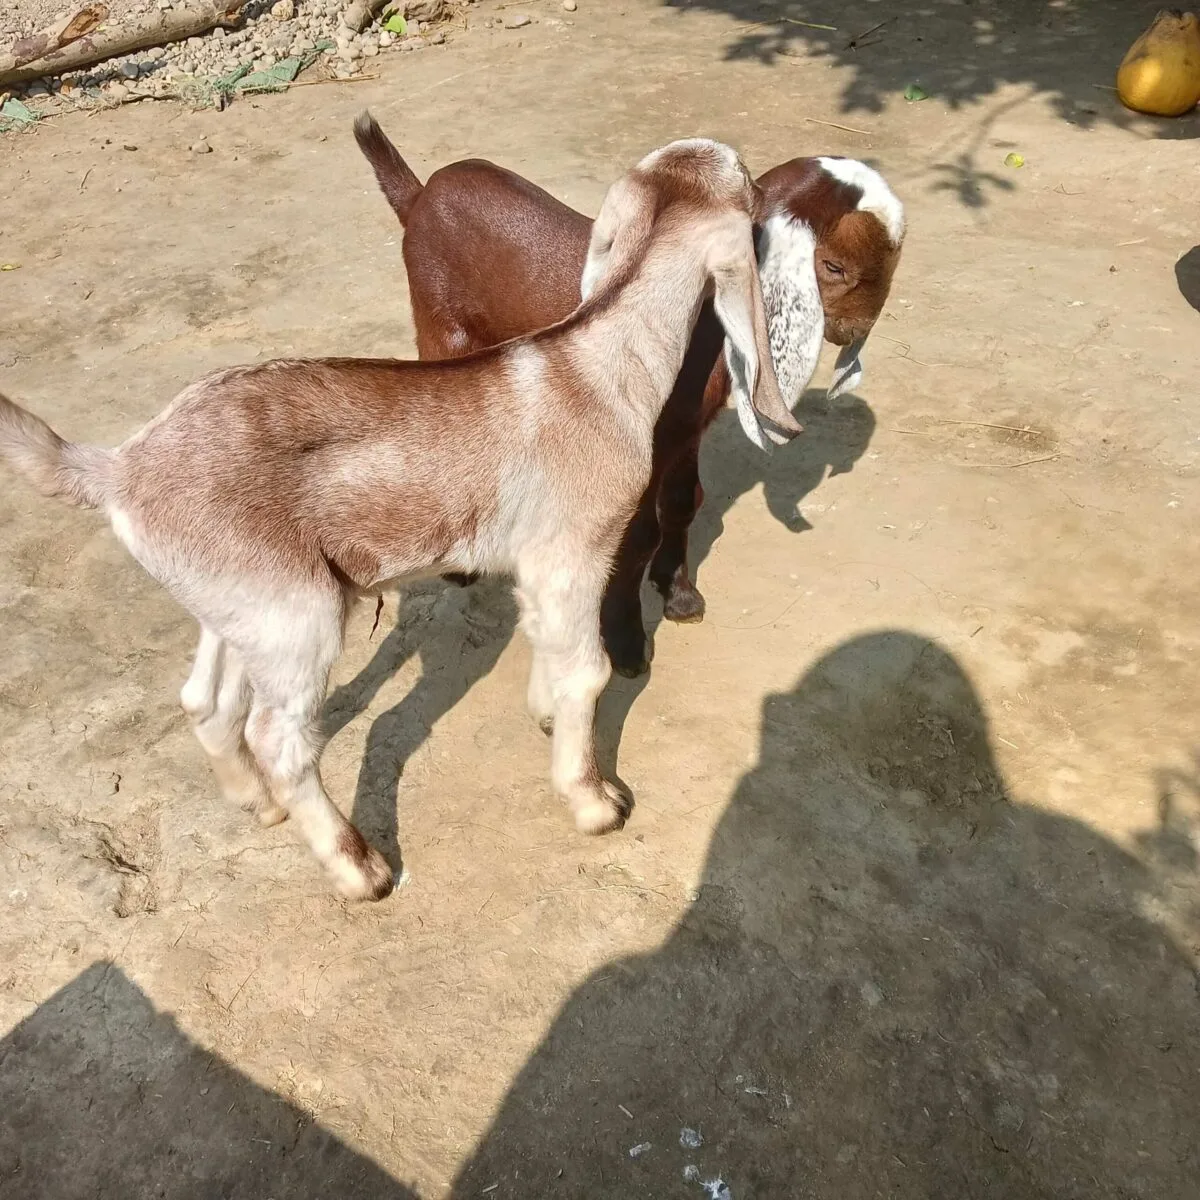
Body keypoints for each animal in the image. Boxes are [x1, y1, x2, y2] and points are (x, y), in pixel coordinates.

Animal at [0, 139, 799, 903]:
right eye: (749, 186)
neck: (601, 365)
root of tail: (118, 469)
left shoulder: (536, 564)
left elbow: (547, 644)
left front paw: (544, 718)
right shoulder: (574, 551)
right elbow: (588, 671)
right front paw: (593, 800)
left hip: (237, 602)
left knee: (206, 701)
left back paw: (261, 806)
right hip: (298, 614)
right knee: (278, 735)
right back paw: (359, 870)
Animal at [355, 114, 905, 675]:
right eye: (833, 267)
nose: (856, 329)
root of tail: (420, 195)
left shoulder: (685, 429)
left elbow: (684, 503)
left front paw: (679, 594)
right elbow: (636, 536)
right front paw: (625, 642)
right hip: (439, 323)